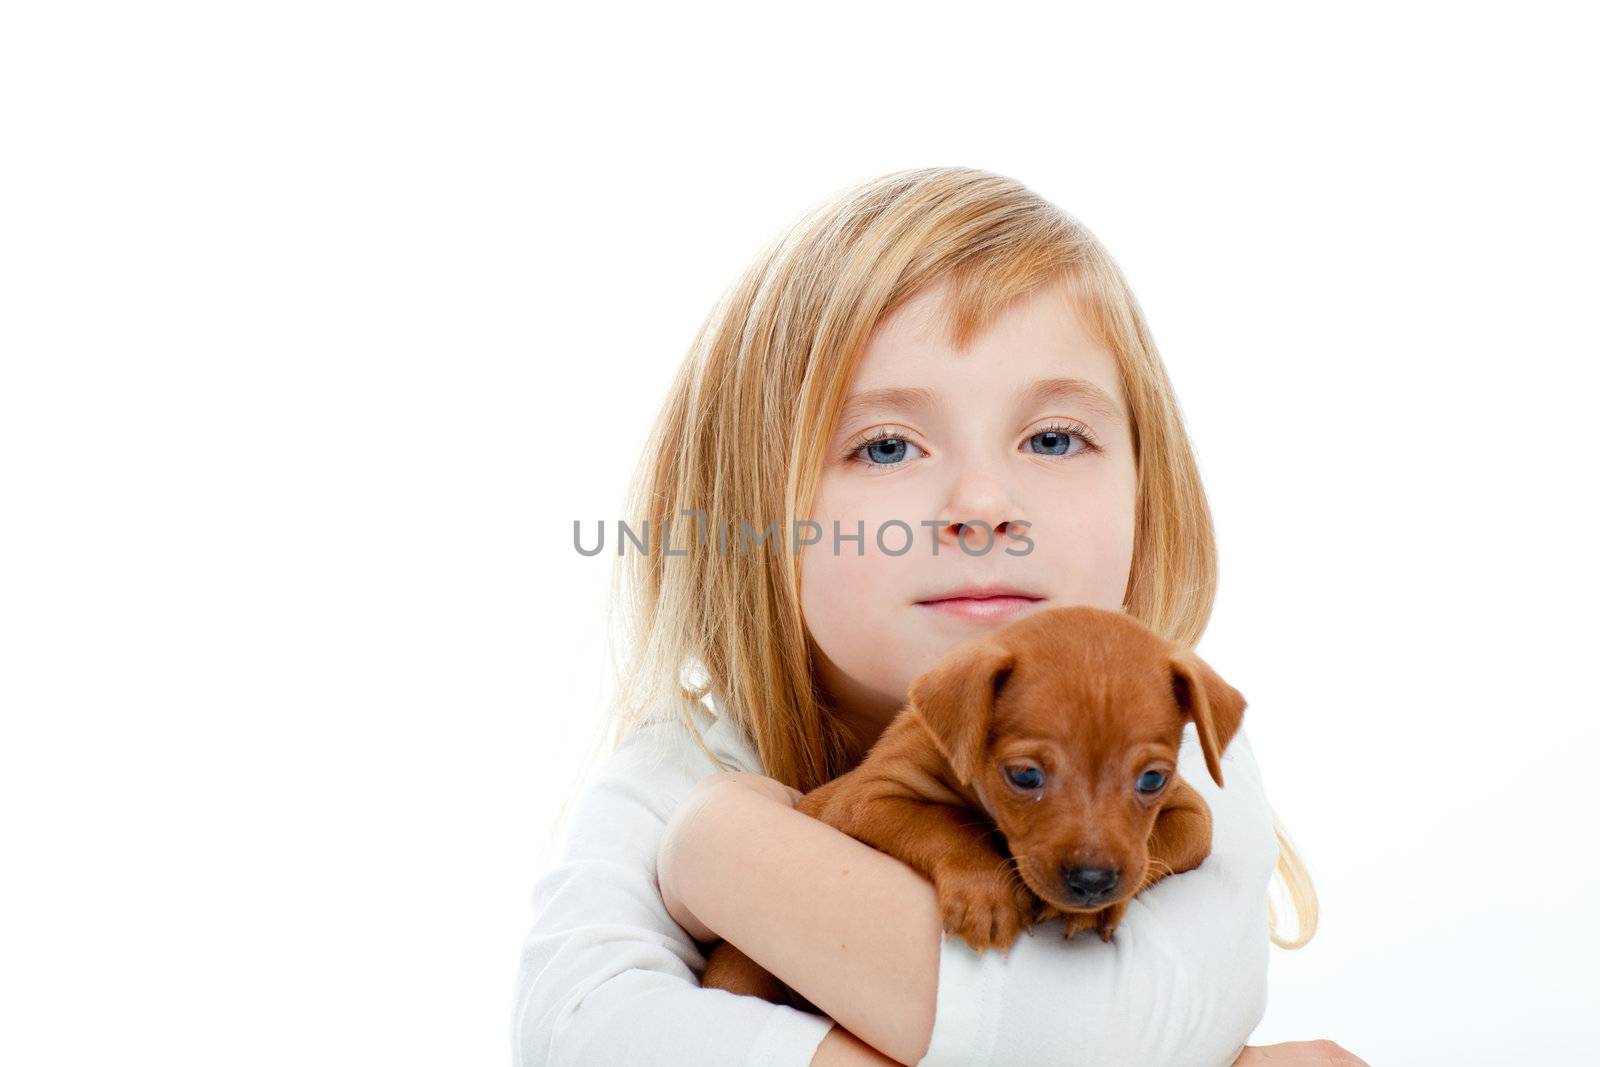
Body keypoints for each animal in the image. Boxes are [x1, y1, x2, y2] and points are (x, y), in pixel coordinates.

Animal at [704, 607, 1248, 1011]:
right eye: (1025, 776)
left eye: (1152, 779)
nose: (1092, 883)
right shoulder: (865, 798)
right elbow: (945, 822)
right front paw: (988, 895)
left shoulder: (1194, 817)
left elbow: (1157, 845)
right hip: (739, 972)